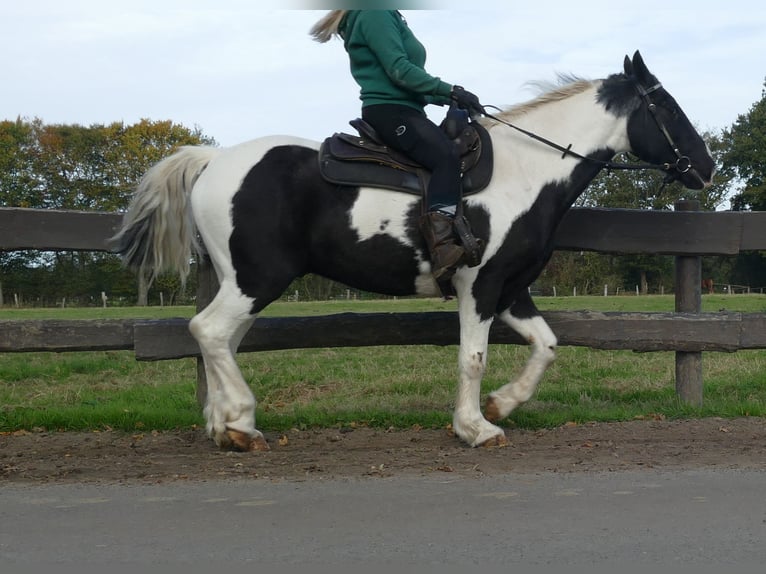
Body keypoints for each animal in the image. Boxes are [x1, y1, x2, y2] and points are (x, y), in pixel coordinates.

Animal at [112, 51, 712, 452]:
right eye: (667, 106)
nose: (705, 168)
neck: (527, 171)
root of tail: (213, 160)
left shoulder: (511, 288)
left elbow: (546, 346)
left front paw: (501, 403)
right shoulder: (480, 285)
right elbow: (473, 357)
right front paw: (475, 427)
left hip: (243, 280)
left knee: (222, 339)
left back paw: (227, 425)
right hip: (259, 278)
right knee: (210, 331)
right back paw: (238, 420)